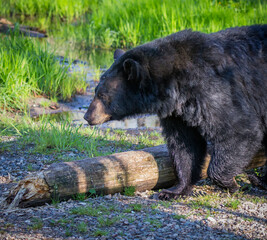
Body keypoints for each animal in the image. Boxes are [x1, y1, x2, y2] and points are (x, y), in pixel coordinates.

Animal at [84, 25, 267, 200]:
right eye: (95, 90)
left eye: (102, 95)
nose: (87, 116)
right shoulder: (179, 113)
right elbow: (185, 145)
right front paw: (174, 191)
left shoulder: (216, 89)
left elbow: (239, 129)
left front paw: (231, 184)